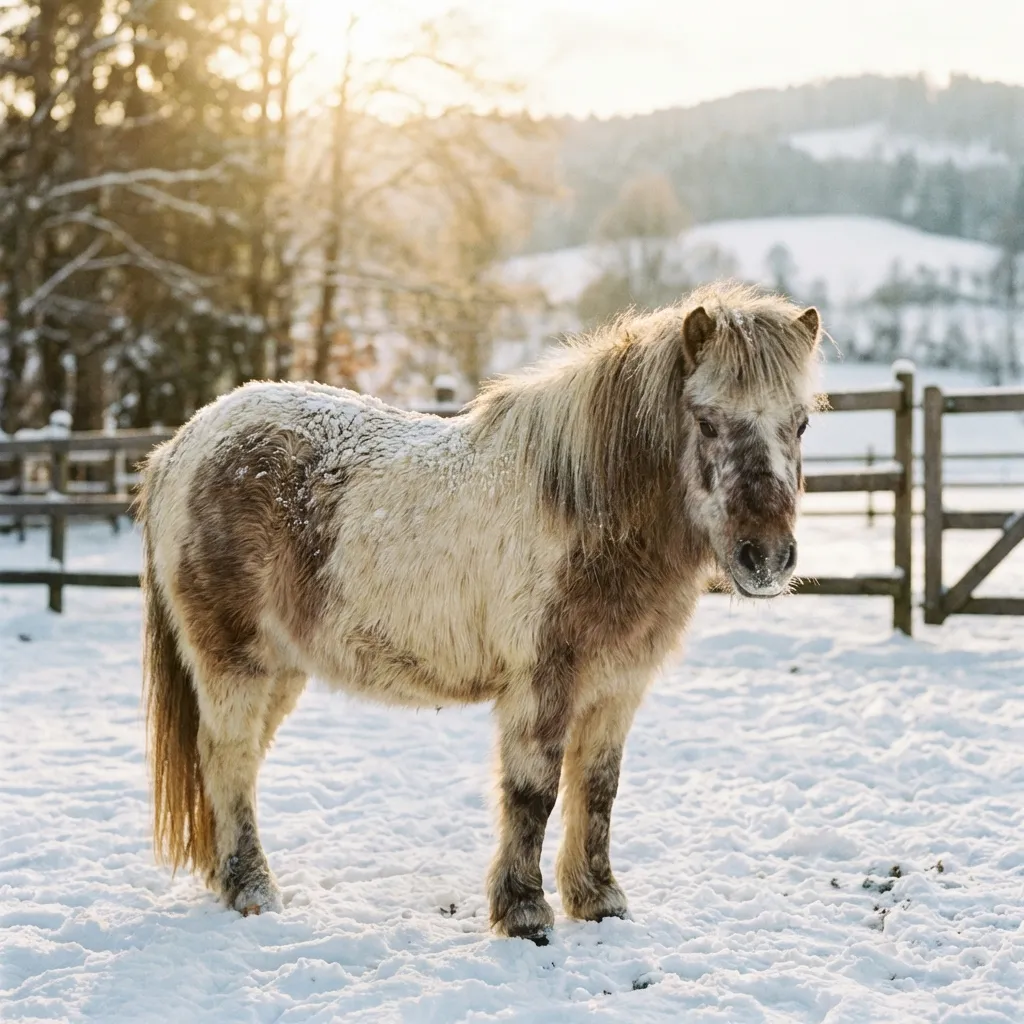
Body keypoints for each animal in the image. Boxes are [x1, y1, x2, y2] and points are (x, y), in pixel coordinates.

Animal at [139, 282, 821, 941]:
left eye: (801, 424)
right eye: (705, 422)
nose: (766, 557)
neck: (584, 509)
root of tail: (181, 447)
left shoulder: (616, 688)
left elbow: (598, 791)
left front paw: (599, 902)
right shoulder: (542, 684)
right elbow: (533, 793)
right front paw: (524, 913)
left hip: (281, 668)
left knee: (237, 761)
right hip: (233, 662)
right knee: (228, 758)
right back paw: (252, 889)